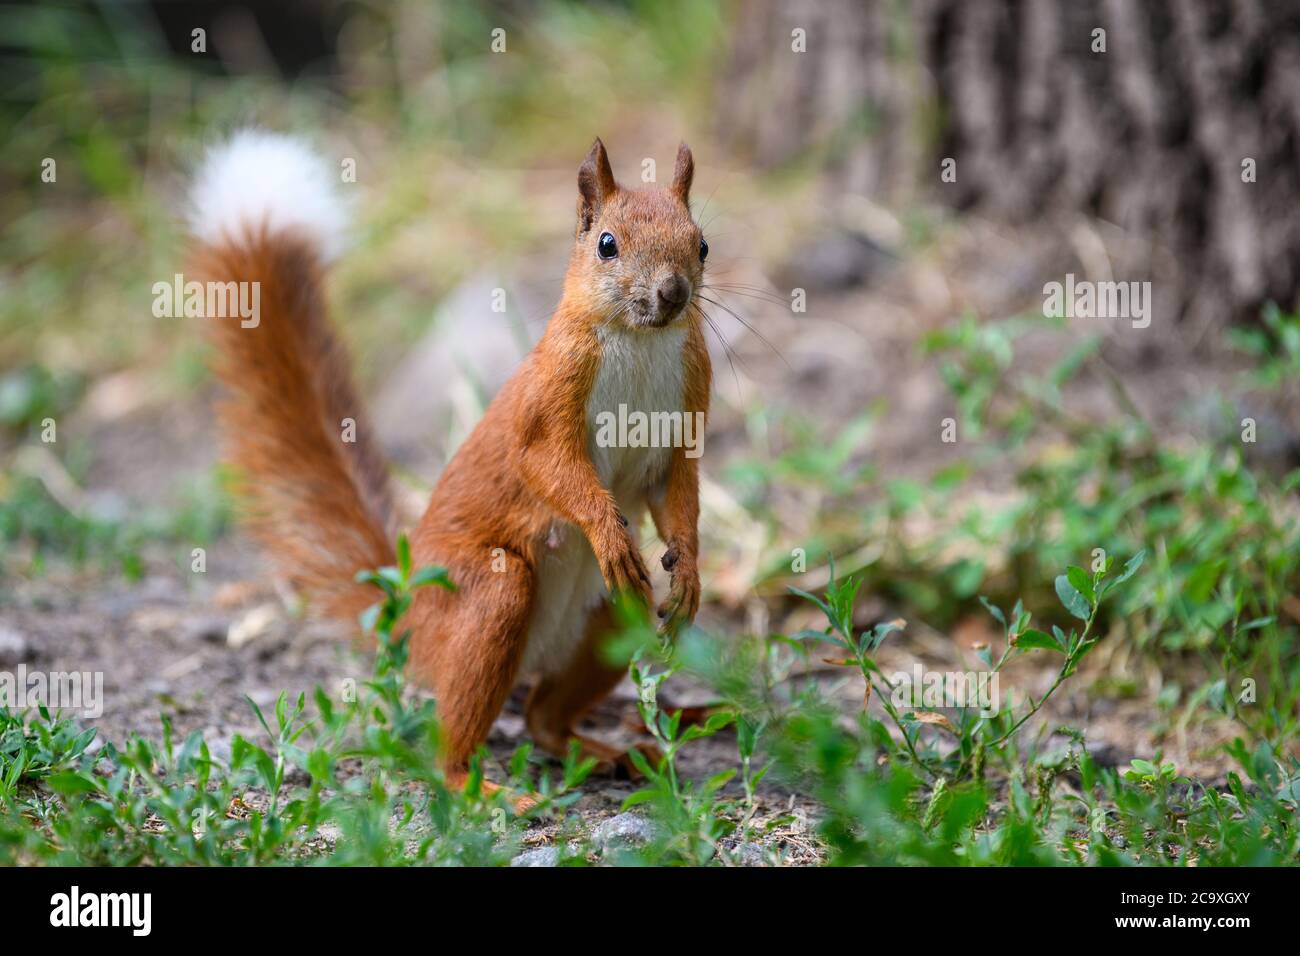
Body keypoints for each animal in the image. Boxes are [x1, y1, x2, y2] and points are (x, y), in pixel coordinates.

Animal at [189, 134, 712, 790]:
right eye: (607, 244)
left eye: (702, 244)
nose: (673, 293)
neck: (641, 341)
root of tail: (404, 613)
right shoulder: (546, 401)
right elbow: (545, 465)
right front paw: (606, 530)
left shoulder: (684, 418)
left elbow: (677, 495)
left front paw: (689, 574)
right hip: (485, 597)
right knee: (461, 727)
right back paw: (482, 788)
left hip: (614, 614)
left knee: (545, 718)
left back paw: (604, 751)